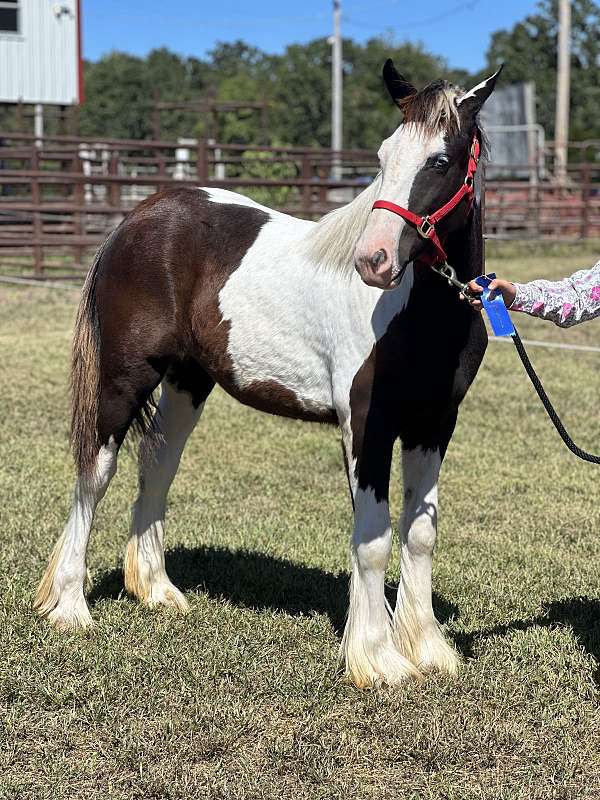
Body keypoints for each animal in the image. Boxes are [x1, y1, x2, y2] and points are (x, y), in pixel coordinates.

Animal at [32, 61, 502, 688]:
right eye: (383, 156)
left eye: (440, 160)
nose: (373, 261)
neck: (417, 312)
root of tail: (139, 216)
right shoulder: (366, 425)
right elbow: (373, 539)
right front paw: (377, 658)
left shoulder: (433, 424)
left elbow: (419, 534)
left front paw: (427, 648)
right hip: (125, 379)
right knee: (95, 471)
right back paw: (70, 607)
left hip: (188, 381)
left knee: (158, 461)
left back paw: (156, 589)